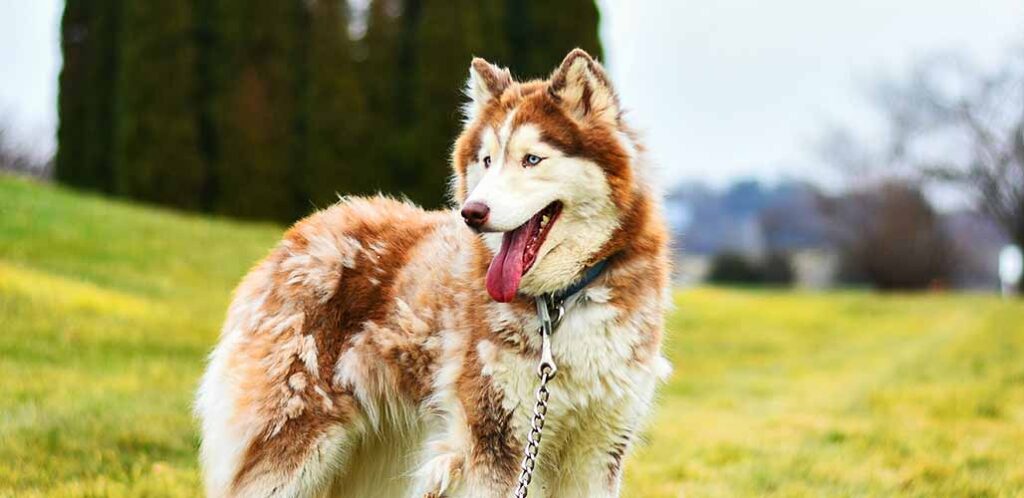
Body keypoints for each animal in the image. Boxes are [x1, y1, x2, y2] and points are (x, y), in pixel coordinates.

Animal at [195, 48, 671, 495]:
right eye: (486, 160)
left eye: (532, 159)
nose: (472, 212)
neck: (562, 302)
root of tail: (303, 230)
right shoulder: (495, 443)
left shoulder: (596, 453)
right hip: (293, 448)